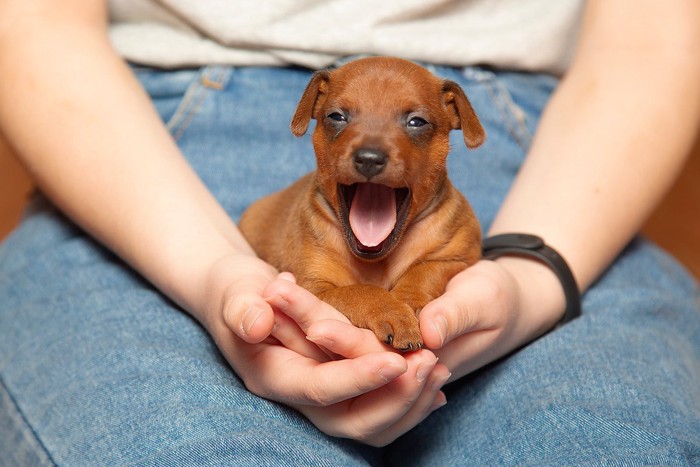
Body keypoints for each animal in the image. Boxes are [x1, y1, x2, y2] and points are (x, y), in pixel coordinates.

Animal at [238, 56, 484, 352]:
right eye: (336, 117)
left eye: (416, 122)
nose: (369, 158)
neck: (376, 260)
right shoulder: (315, 286)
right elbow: (361, 292)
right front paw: (392, 312)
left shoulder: (457, 259)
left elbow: (424, 272)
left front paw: (407, 301)